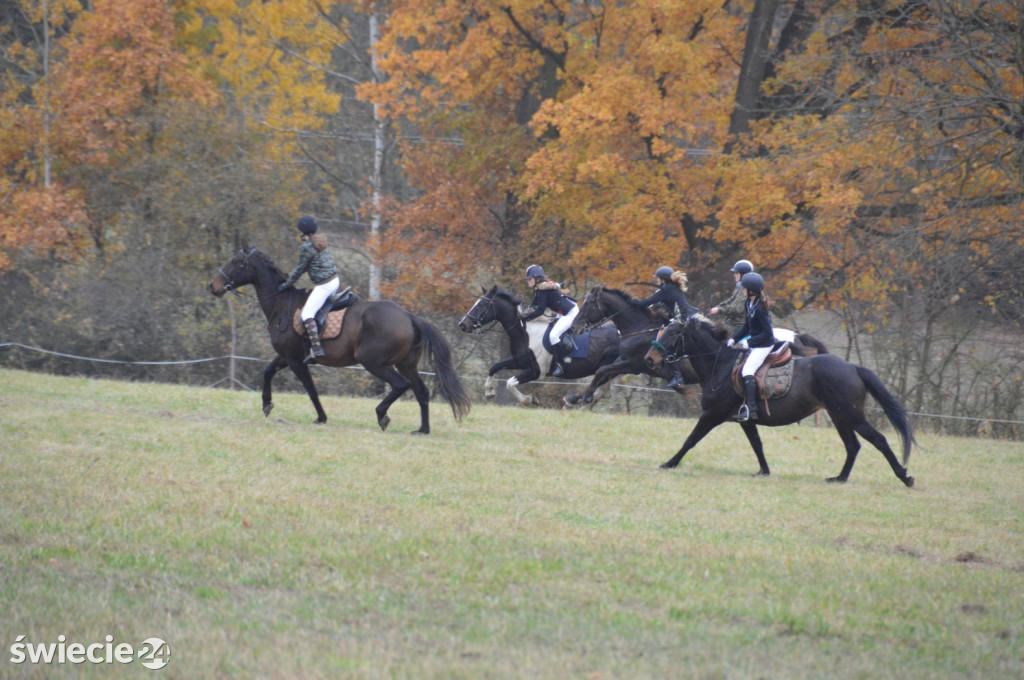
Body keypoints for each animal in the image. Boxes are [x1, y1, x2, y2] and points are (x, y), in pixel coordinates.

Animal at [207, 241, 471, 432]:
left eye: (235, 261)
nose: (213, 286)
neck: (281, 304)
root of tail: (409, 316)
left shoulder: (294, 360)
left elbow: (310, 389)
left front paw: (321, 417)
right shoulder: (287, 356)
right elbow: (268, 371)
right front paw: (267, 404)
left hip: (373, 362)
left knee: (400, 385)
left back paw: (382, 416)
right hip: (406, 364)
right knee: (421, 392)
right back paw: (422, 429)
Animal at [460, 284, 618, 403]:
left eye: (482, 305)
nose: (462, 325)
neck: (526, 333)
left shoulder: (536, 372)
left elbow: (510, 383)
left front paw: (528, 400)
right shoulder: (520, 362)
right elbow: (494, 367)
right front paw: (489, 392)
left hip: (609, 367)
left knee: (598, 389)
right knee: (599, 390)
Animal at [643, 315, 917, 485]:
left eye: (673, 333)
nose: (649, 359)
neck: (718, 365)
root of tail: (852, 367)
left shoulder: (712, 415)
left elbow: (690, 440)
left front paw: (669, 464)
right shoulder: (745, 419)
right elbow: (757, 445)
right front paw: (763, 471)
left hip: (851, 416)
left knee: (878, 441)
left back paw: (904, 476)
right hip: (840, 417)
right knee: (853, 446)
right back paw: (839, 478)